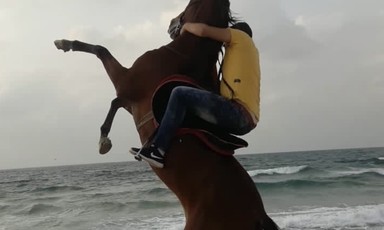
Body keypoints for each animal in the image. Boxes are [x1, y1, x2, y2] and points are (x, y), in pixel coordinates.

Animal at [54, 0, 280, 228]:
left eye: (188, 3)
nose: (171, 23)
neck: (182, 55)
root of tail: (259, 217)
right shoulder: (129, 101)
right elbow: (114, 100)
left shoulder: (124, 84)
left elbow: (102, 52)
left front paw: (64, 43)